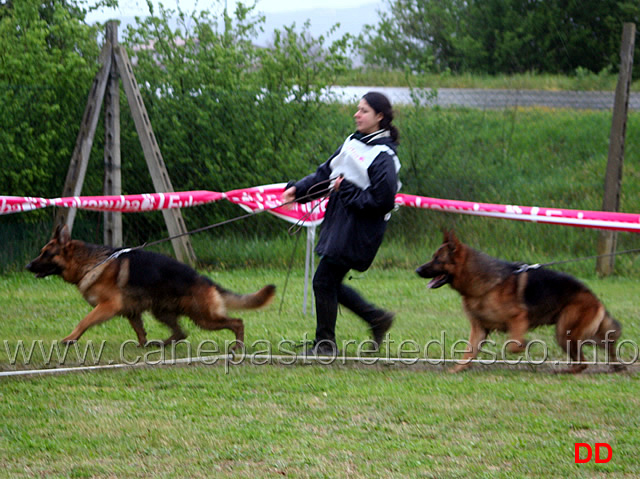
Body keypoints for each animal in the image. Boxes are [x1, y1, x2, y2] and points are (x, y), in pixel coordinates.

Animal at [26, 226, 276, 348]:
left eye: (46, 253)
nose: (27, 265)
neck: (90, 262)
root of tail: (204, 279)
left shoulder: (108, 306)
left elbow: (84, 321)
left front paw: (70, 338)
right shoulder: (131, 311)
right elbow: (139, 329)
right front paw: (143, 344)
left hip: (203, 317)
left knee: (237, 322)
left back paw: (238, 347)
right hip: (162, 311)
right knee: (181, 332)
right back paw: (161, 344)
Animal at [416, 232, 624, 376]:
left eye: (437, 259)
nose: (417, 270)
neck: (485, 282)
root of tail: (594, 297)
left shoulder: (518, 318)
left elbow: (513, 345)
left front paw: (525, 344)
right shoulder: (479, 329)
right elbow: (469, 352)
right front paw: (457, 369)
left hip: (565, 333)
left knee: (584, 361)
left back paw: (565, 371)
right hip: (580, 334)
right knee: (606, 344)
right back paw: (616, 366)